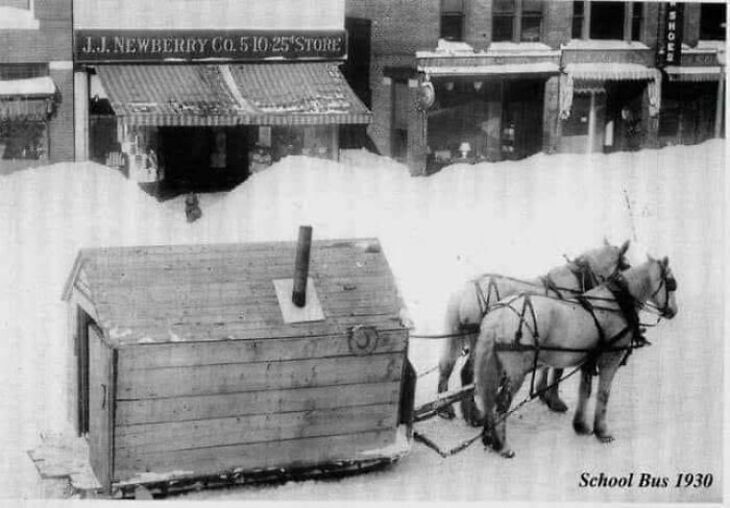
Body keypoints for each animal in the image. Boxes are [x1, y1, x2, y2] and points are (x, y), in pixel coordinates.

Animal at [436, 238, 628, 420]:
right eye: (626, 266)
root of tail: (464, 292)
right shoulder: (566, 338)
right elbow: (557, 370)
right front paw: (554, 400)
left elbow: (546, 366)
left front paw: (543, 393)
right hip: (478, 340)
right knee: (466, 373)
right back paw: (473, 415)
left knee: (446, 366)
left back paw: (445, 408)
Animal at [472, 256, 676, 458]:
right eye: (672, 284)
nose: (674, 312)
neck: (615, 304)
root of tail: (498, 316)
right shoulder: (610, 360)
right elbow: (603, 394)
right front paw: (602, 431)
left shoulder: (588, 361)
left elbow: (584, 391)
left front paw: (581, 426)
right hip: (516, 372)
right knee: (501, 404)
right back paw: (503, 446)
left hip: (497, 367)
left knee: (489, 399)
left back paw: (490, 439)